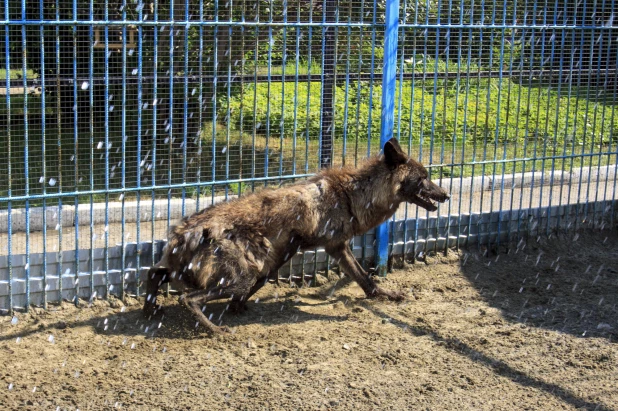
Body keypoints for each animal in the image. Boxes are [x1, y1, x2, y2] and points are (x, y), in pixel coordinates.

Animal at [143, 138, 448, 334]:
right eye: (423, 178)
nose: (445, 195)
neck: (351, 195)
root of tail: (182, 234)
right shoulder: (329, 247)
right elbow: (365, 276)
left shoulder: (302, 251)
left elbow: (366, 281)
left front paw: (386, 295)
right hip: (240, 276)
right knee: (187, 298)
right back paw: (214, 330)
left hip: (204, 269)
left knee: (155, 273)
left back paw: (151, 310)